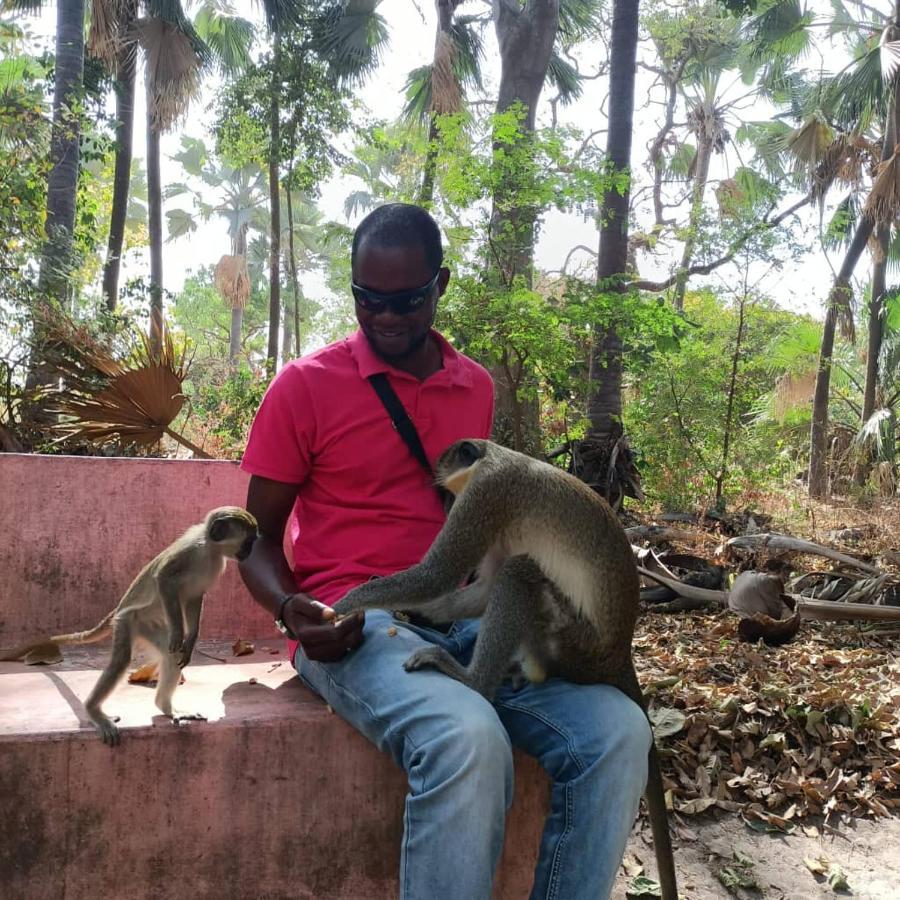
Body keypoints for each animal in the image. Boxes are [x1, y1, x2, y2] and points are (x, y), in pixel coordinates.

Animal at [1, 506, 258, 744]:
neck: (210, 549)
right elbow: (164, 579)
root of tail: (120, 609)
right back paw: (95, 711)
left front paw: (191, 639)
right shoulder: (189, 552)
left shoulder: (213, 567)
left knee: (169, 655)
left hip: (148, 625)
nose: (249, 553)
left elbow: (194, 598)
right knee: (122, 660)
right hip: (128, 620)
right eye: (248, 541)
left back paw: (166, 707)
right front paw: (178, 631)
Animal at [334, 442, 680, 900]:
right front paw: (415, 610)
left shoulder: (488, 492)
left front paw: (346, 602)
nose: (444, 498)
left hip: (569, 635)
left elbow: (438, 575)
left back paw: (474, 678)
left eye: (450, 482)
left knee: (519, 573)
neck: (495, 454)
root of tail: (618, 650)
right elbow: (477, 589)